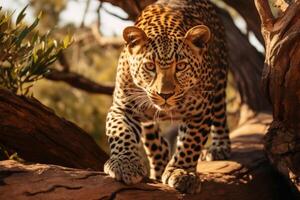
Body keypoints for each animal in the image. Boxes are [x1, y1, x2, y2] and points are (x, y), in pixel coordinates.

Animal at [104, 0, 231, 194]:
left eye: (181, 66)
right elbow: (121, 132)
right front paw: (125, 163)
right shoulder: (122, 108)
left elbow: (190, 143)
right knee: (156, 141)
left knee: (220, 114)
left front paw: (182, 172)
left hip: (219, 84)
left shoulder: (200, 112)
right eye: (150, 66)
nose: (165, 94)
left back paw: (220, 147)